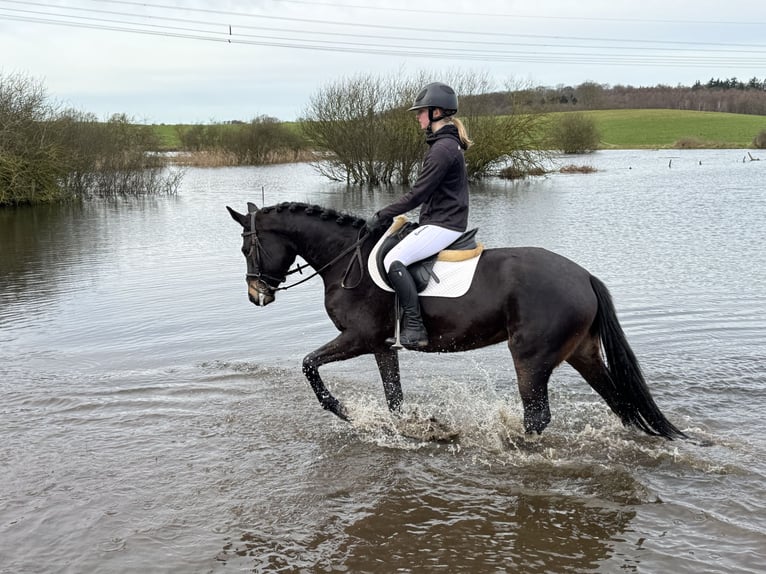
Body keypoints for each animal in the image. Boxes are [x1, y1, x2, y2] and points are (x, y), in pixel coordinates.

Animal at [225, 202, 688, 440]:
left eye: (247, 248)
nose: (256, 295)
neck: (344, 259)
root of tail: (584, 276)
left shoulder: (358, 337)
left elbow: (309, 365)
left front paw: (345, 412)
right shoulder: (380, 345)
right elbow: (394, 399)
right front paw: (413, 428)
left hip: (531, 357)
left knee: (538, 417)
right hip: (582, 353)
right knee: (620, 402)